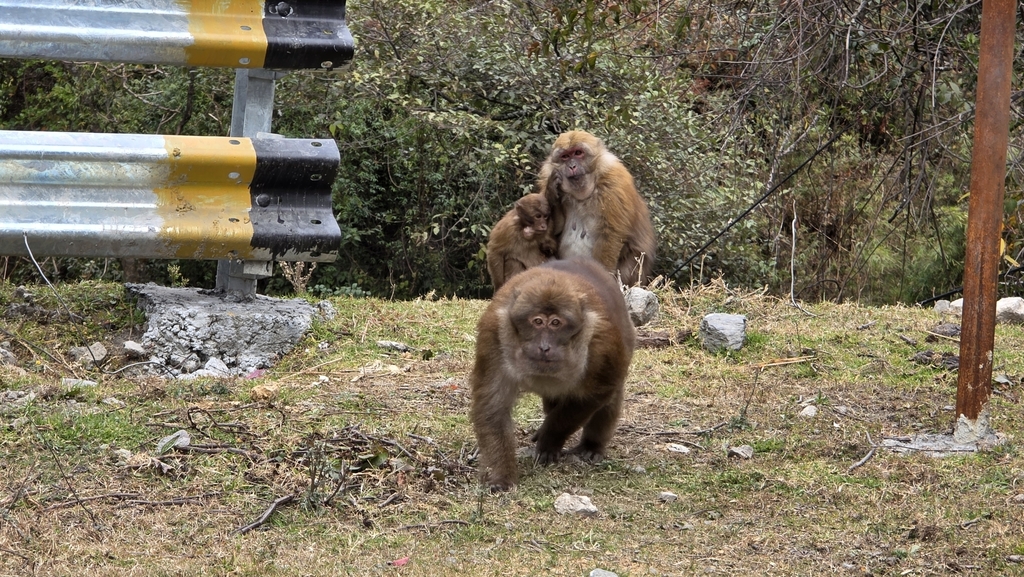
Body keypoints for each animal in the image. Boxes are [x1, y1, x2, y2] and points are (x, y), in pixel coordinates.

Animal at [469, 257, 636, 491]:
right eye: (537, 321)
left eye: (556, 323)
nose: (544, 347)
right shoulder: (494, 334)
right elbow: (493, 407)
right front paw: (500, 476)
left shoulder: (602, 343)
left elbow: (593, 395)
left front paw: (550, 440)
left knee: (611, 395)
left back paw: (591, 445)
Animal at [537, 130, 657, 286]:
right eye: (565, 156)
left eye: (578, 153)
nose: (572, 166)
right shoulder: (548, 176)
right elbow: (552, 232)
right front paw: (552, 193)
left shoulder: (614, 183)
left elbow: (610, 234)